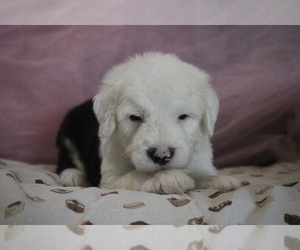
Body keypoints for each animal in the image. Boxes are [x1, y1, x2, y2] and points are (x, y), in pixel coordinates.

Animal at [56, 51, 241, 194]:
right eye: (135, 117)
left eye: (183, 116)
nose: (161, 155)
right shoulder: (110, 177)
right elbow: (136, 175)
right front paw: (169, 178)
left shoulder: (200, 158)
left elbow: (203, 173)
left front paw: (220, 179)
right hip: (67, 134)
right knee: (64, 162)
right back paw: (72, 175)